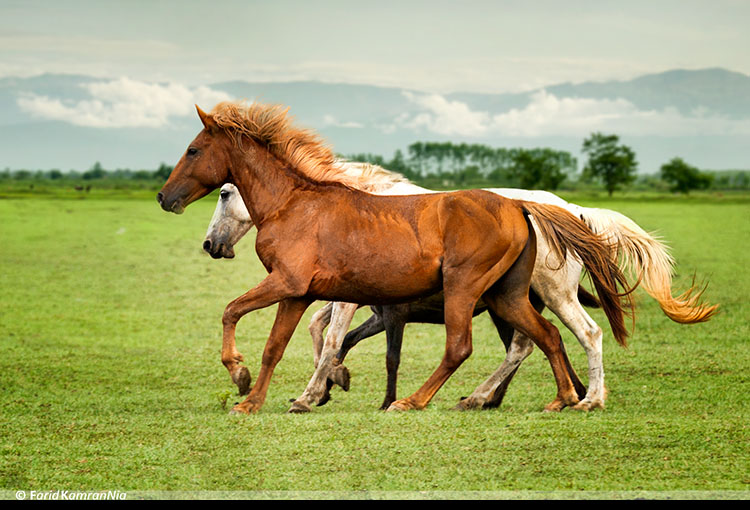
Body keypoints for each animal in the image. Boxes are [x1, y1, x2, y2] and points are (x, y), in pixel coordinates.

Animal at [157, 100, 633, 415]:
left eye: (194, 151)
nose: (165, 198)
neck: (293, 204)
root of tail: (522, 205)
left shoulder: (289, 285)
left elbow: (235, 312)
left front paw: (245, 377)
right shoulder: (298, 293)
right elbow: (277, 346)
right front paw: (256, 399)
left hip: (472, 289)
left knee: (471, 345)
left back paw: (415, 401)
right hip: (506, 296)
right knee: (544, 337)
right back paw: (559, 397)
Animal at [204, 170, 717, 411]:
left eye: (225, 193)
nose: (211, 245)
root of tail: (570, 210)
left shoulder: (354, 298)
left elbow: (329, 335)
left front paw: (315, 390)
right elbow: (323, 331)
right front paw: (329, 383)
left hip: (546, 294)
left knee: (579, 334)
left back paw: (584, 397)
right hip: (513, 299)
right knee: (533, 343)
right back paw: (507, 396)